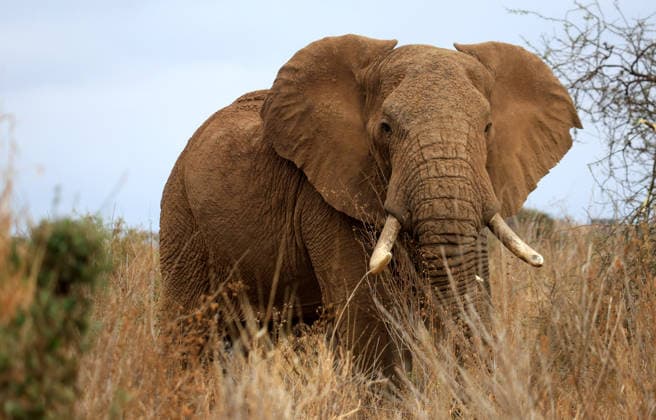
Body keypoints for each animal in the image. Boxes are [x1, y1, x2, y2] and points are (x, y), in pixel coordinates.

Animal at [159, 34, 581, 376]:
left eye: (487, 128)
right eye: (386, 128)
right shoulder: (326, 194)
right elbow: (367, 313)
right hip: (180, 215)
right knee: (190, 329)